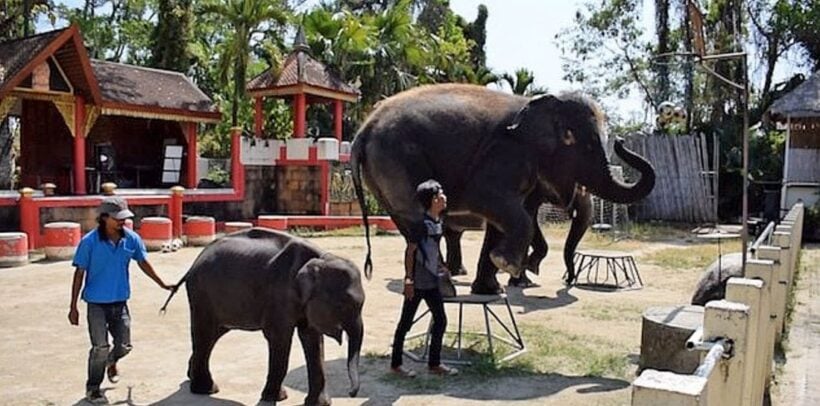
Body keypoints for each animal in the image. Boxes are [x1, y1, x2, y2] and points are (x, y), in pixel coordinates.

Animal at [162, 228, 364, 406]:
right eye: (343, 304)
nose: (351, 393)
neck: (319, 260)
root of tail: (194, 263)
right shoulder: (279, 294)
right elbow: (280, 338)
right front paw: (275, 398)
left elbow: (312, 339)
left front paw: (319, 404)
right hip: (201, 294)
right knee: (205, 334)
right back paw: (206, 390)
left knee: (212, 335)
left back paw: (192, 378)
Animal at [350, 84, 652, 294]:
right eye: (576, 140)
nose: (621, 141)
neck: (535, 103)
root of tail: (363, 129)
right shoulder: (506, 153)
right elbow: (488, 199)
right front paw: (509, 265)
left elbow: (505, 219)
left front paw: (493, 287)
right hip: (397, 160)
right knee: (418, 219)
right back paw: (446, 287)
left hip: (383, 173)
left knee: (409, 224)